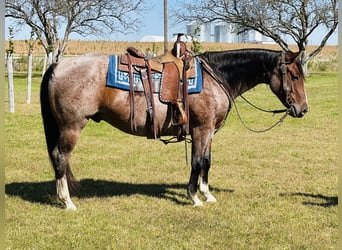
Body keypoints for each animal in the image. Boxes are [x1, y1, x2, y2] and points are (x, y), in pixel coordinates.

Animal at [41, 47, 308, 210]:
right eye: (294, 76)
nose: (303, 109)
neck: (216, 77)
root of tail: (58, 66)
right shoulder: (202, 129)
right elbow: (198, 162)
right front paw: (194, 197)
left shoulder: (208, 131)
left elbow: (207, 162)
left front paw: (207, 194)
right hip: (71, 127)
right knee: (60, 157)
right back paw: (67, 201)